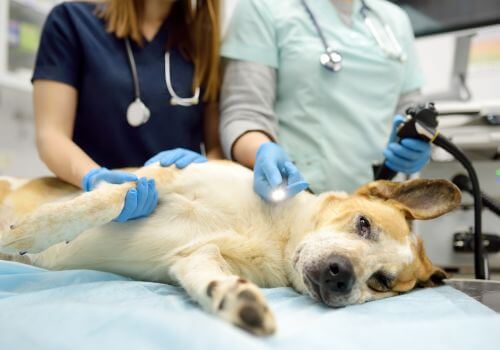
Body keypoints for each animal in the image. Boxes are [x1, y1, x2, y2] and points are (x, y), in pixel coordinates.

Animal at [0, 161, 460, 336]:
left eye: (380, 282)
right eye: (363, 224)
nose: (340, 274)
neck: (276, 235)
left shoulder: (195, 256)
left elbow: (210, 276)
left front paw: (238, 301)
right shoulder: (160, 178)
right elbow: (96, 205)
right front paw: (25, 233)